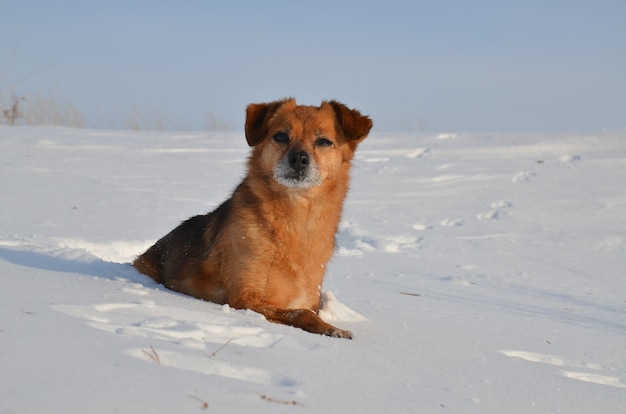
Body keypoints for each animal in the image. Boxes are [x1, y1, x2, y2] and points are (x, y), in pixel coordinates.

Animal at [133, 98, 370, 338]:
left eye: (323, 141)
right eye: (280, 136)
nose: (298, 159)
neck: (295, 221)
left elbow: (307, 309)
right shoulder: (245, 298)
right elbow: (301, 313)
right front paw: (332, 330)